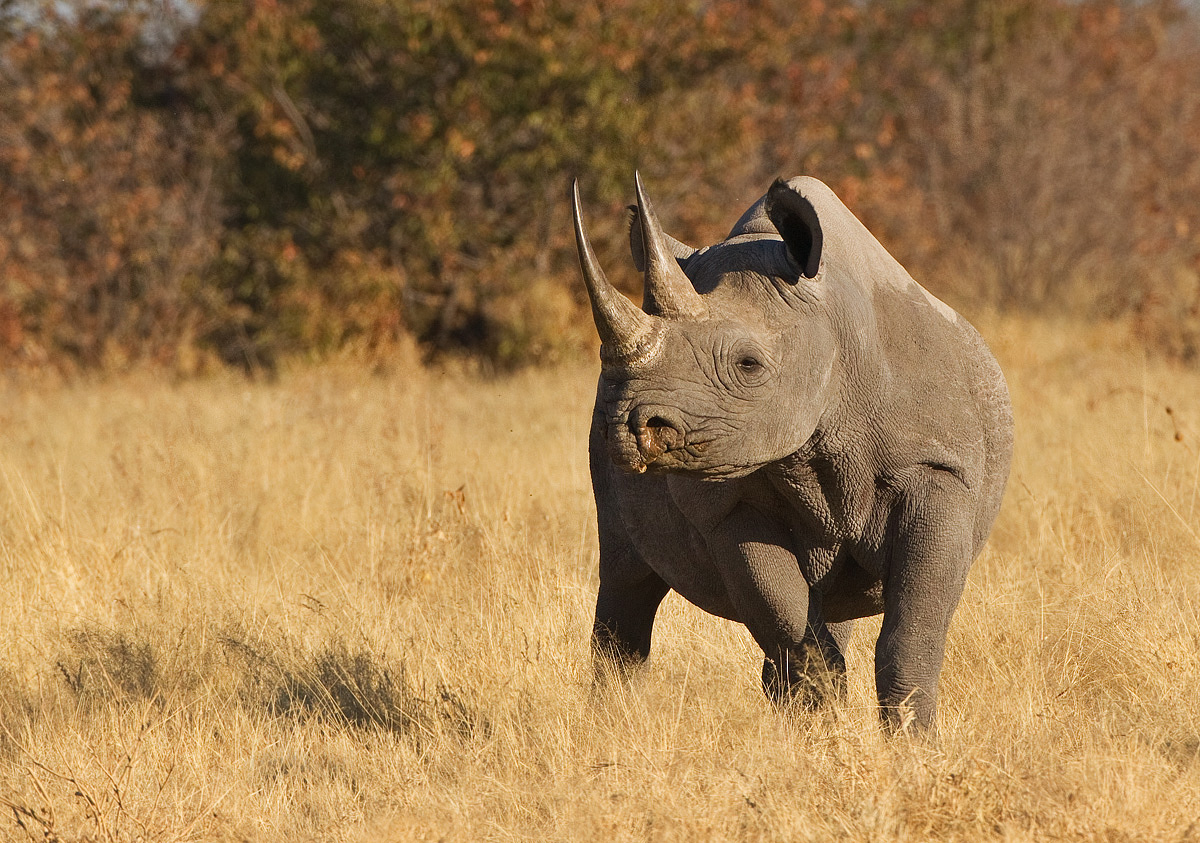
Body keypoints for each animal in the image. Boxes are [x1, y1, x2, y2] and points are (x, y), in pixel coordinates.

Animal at [572, 174, 1013, 732]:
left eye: (749, 364)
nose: (628, 426)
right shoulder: (728, 503)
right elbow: (789, 621)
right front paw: (823, 731)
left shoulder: (940, 471)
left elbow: (912, 632)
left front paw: (911, 740)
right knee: (627, 575)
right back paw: (612, 724)